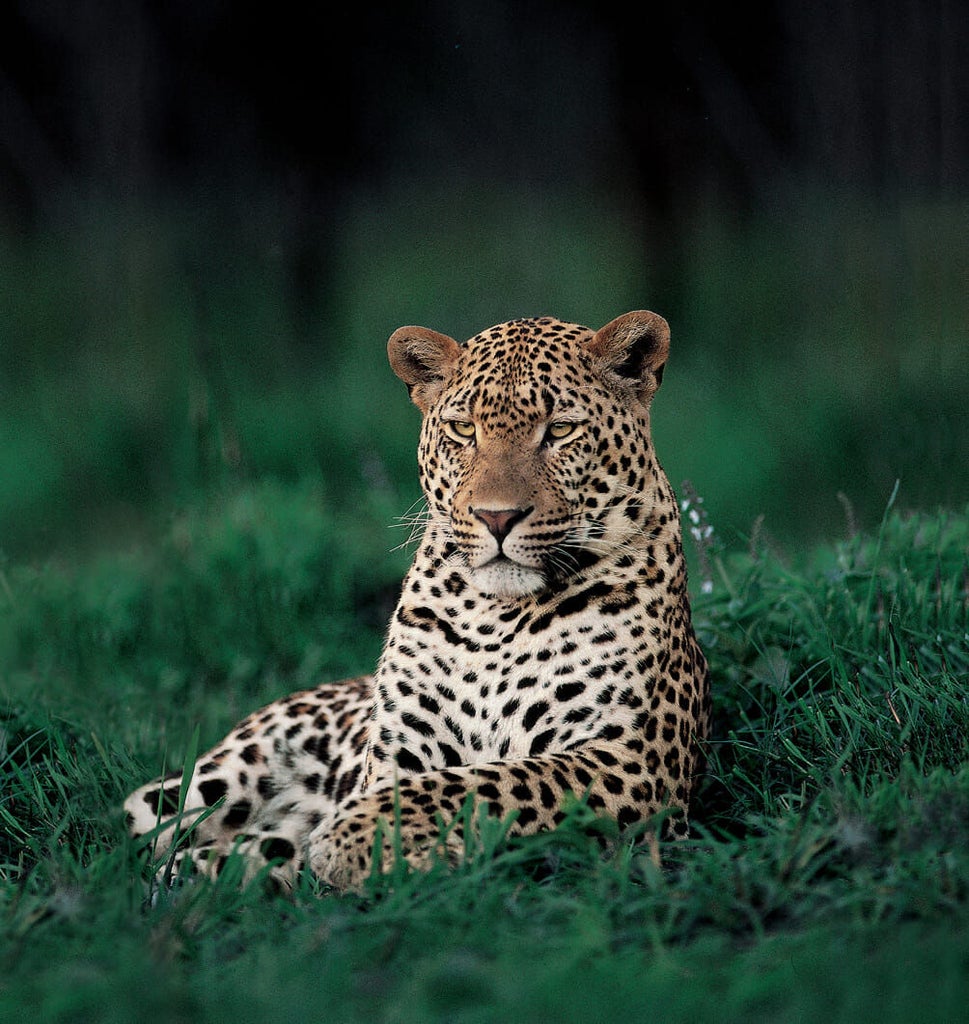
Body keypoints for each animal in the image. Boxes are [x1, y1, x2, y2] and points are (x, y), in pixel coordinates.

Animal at [122, 307, 708, 892]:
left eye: (560, 430)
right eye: (463, 429)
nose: (496, 517)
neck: (498, 617)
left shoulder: (632, 758)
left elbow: (494, 781)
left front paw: (350, 841)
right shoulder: (400, 748)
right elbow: (428, 787)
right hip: (212, 778)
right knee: (138, 818)